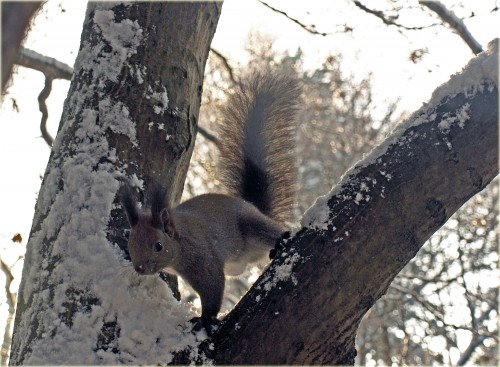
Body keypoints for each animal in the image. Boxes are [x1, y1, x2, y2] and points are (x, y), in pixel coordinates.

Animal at [121, 72, 300, 330]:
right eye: (130, 243)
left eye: (158, 246)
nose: (140, 268)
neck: (180, 243)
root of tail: (254, 207)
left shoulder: (202, 260)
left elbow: (213, 288)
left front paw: (205, 319)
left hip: (251, 223)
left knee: (271, 230)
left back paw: (282, 239)